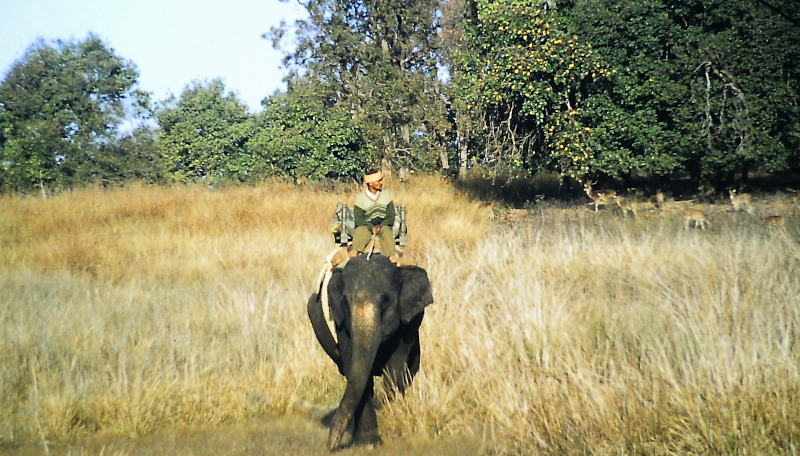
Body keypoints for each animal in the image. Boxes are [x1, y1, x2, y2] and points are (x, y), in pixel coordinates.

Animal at [306, 255, 432, 450]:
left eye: (386, 301)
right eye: (345, 302)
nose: (330, 445)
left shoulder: (406, 326)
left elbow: (395, 371)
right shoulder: (342, 324)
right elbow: (355, 370)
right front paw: (368, 443)